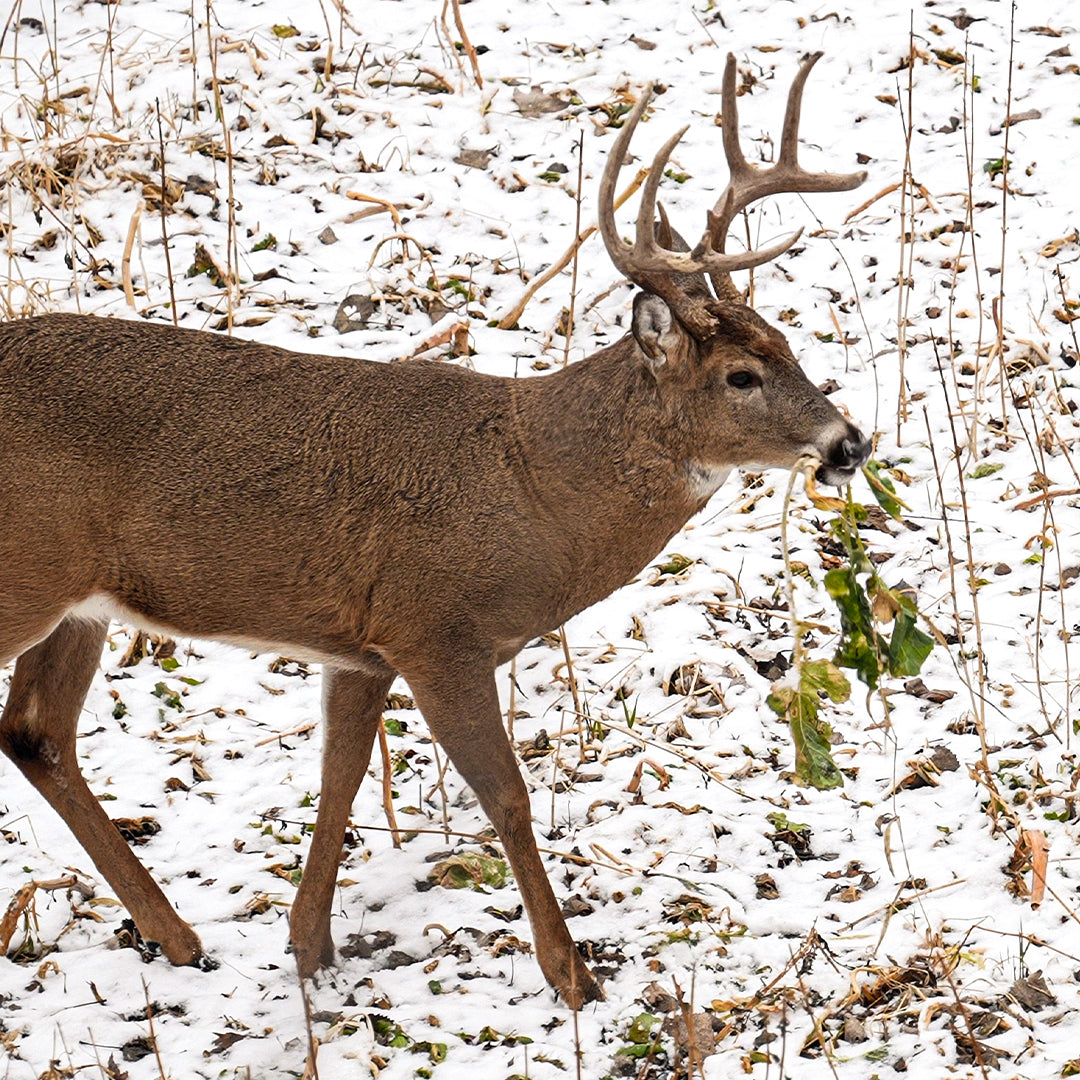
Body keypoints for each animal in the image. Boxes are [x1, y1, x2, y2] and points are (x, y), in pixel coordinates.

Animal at [0, 53, 868, 1009]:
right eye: (742, 375)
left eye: (788, 341)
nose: (849, 443)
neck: (531, 487)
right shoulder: (438, 631)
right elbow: (508, 798)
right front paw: (574, 978)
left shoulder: (363, 645)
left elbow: (339, 782)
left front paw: (311, 953)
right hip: (26, 574)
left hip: (81, 601)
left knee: (36, 731)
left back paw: (180, 939)